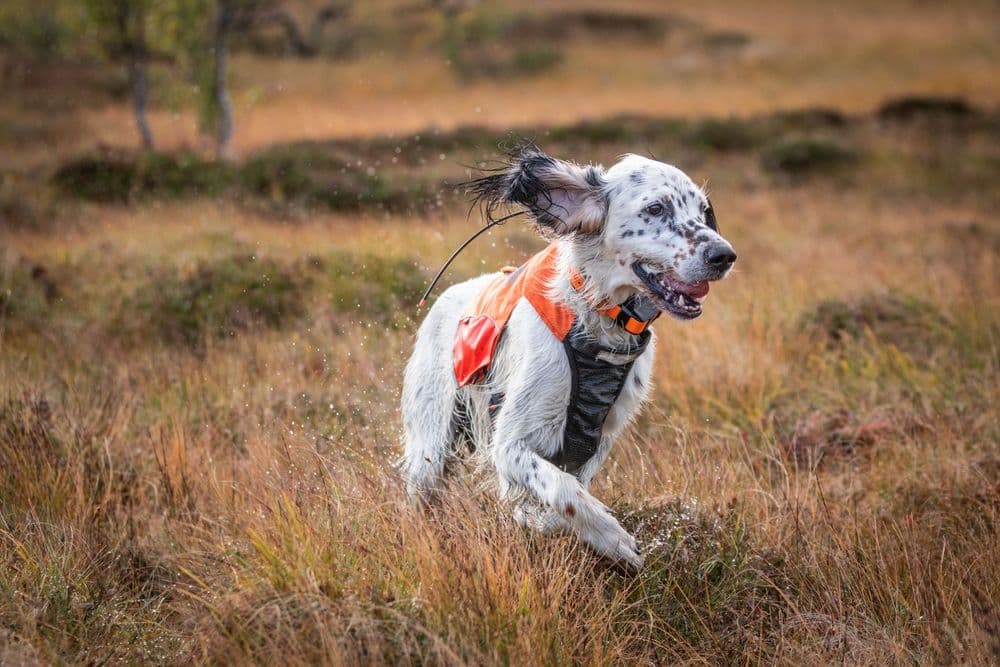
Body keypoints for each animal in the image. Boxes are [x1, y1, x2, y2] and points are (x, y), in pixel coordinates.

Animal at [402, 146, 740, 568]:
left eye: (703, 210)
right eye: (656, 208)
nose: (724, 255)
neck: (598, 322)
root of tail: (446, 298)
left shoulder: (597, 440)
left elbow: (560, 494)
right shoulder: (509, 445)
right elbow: (563, 494)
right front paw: (613, 538)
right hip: (430, 444)